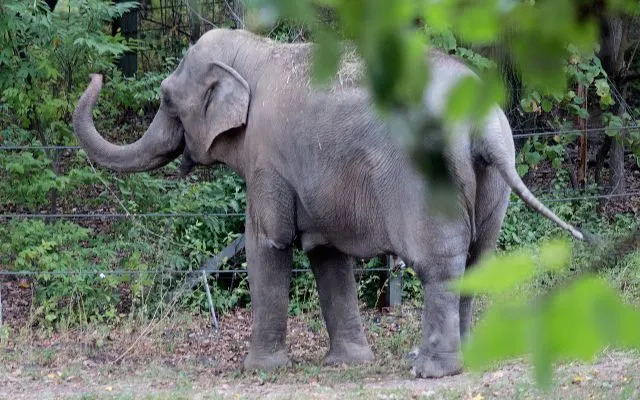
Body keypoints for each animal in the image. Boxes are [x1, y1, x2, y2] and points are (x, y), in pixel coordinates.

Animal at [73, 28, 586, 378]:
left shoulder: (268, 159)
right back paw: (466, 361)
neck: (254, 51)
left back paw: (430, 370)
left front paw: (260, 370)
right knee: (479, 260)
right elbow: (326, 254)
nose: (97, 74)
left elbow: (267, 244)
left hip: (430, 177)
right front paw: (348, 363)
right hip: (494, 183)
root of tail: (484, 125)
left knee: (439, 263)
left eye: (164, 98)